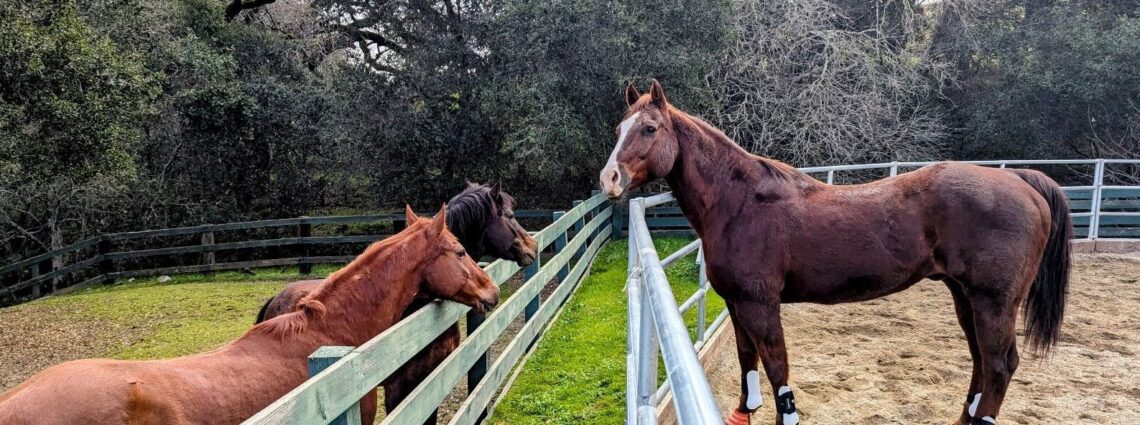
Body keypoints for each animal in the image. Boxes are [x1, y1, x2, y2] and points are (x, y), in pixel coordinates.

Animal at [600, 80, 1072, 425]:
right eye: (619, 130)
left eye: (650, 129)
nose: (610, 179)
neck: (741, 202)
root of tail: (1023, 182)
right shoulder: (736, 303)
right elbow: (747, 358)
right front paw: (743, 412)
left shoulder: (760, 303)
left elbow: (776, 367)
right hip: (965, 297)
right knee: (980, 361)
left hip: (994, 302)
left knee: (999, 366)